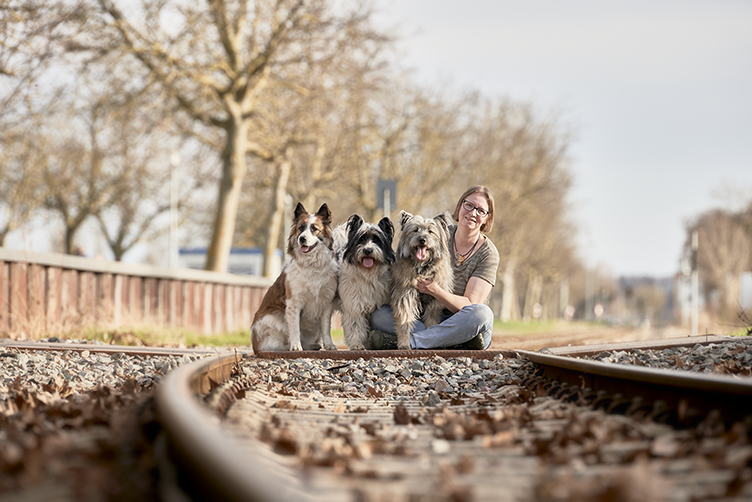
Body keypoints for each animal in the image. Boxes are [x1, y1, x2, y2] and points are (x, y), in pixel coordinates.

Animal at [390, 211, 456, 350]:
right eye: (415, 230)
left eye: (430, 231)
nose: (422, 239)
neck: (421, 268)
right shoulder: (405, 295)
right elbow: (404, 320)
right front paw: (404, 343)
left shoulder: (434, 299)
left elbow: (432, 322)